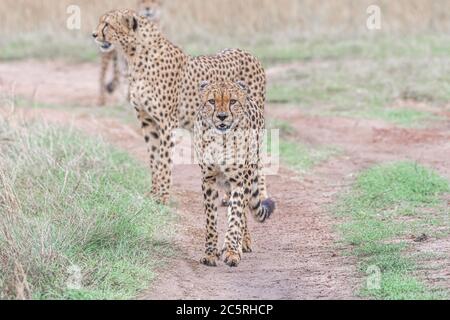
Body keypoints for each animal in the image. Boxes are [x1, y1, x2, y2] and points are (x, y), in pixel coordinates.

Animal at [92, 10, 268, 205]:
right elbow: (153, 158)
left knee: (259, 159)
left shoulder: (167, 123)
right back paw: (227, 195)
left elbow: (164, 160)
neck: (135, 56)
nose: (94, 34)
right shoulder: (147, 121)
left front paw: (162, 197)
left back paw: (260, 196)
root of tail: (247, 53)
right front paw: (153, 194)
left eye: (107, 24)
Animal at [193, 80, 274, 268]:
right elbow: (211, 221)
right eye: (212, 101)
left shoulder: (238, 181)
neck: (220, 139)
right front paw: (210, 253)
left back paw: (242, 243)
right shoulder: (208, 180)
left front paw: (231, 251)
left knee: (242, 212)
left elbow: (236, 216)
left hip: (249, 174)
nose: (222, 116)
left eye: (232, 101)